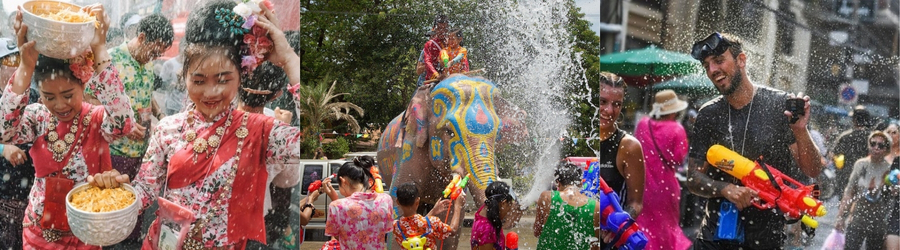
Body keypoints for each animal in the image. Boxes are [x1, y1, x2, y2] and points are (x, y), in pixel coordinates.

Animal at [374, 75, 528, 250]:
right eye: (449, 131)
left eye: (498, 133)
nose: (515, 207)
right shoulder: (409, 149)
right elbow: (398, 199)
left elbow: (451, 216)